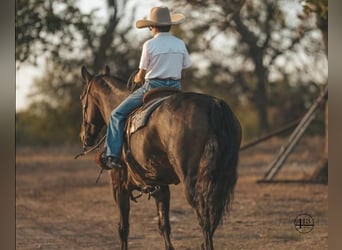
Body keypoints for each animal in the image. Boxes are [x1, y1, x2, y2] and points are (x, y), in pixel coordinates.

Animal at [79, 65, 242, 249]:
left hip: (192, 182)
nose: (84, 136)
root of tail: (213, 104)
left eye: (82, 98)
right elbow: (164, 225)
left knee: (204, 217)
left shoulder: (119, 187)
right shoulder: (160, 187)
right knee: (213, 216)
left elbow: (123, 228)